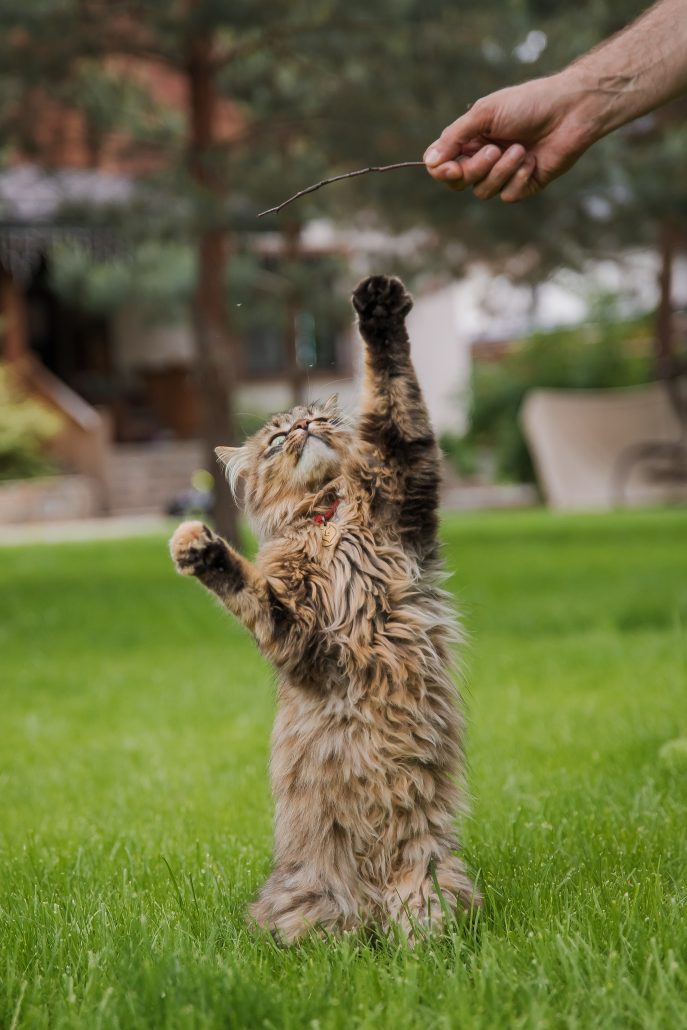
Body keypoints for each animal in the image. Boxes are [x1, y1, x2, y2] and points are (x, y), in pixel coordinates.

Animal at [168, 273, 482, 943]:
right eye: (276, 439)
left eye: (317, 419)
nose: (302, 428)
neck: (327, 520)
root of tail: (367, 911)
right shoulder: (299, 636)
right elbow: (249, 589)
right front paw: (199, 549)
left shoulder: (404, 479)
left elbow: (392, 392)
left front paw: (380, 311)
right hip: (312, 904)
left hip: (430, 882)